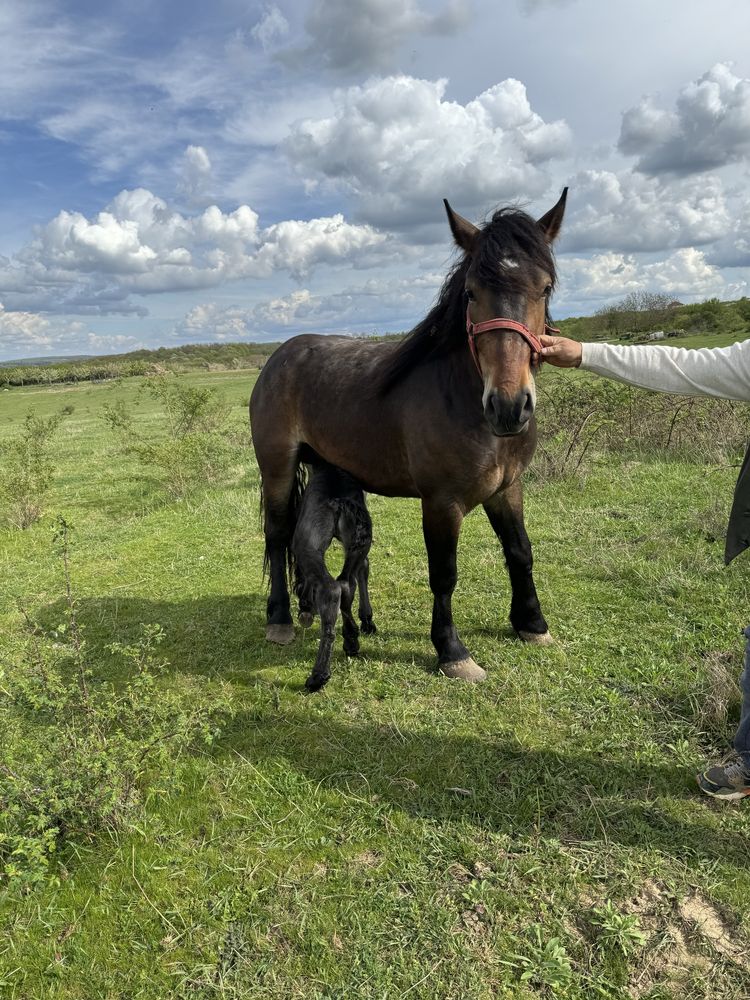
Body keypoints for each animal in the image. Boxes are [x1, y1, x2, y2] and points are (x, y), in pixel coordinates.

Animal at [294, 462, 376, 692]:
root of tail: (340, 502)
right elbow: (363, 569)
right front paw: (366, 620)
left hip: (308, 545)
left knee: (331, 589)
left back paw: (318, 676)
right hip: (359, 541)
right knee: (347, 583)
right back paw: (351, 640)